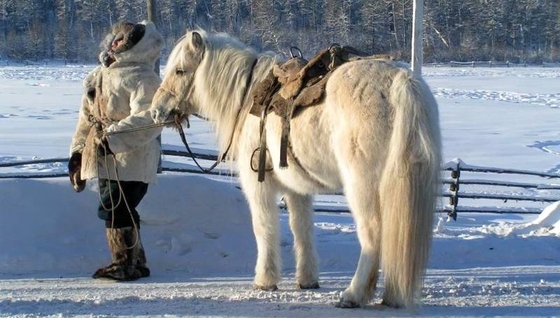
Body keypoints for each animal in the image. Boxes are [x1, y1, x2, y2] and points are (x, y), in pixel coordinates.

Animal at [150, 29, 442, 308]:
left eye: (179, 70)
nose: (156, 111)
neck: (248, 99)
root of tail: (402, 82)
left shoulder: (259, 186)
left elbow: (265, 228)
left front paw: (265, 280)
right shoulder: (297, 189)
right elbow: (302, 229)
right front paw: (307, 280)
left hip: (363, 186)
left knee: (373, 234)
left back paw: (354, 294)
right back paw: (393, 295)